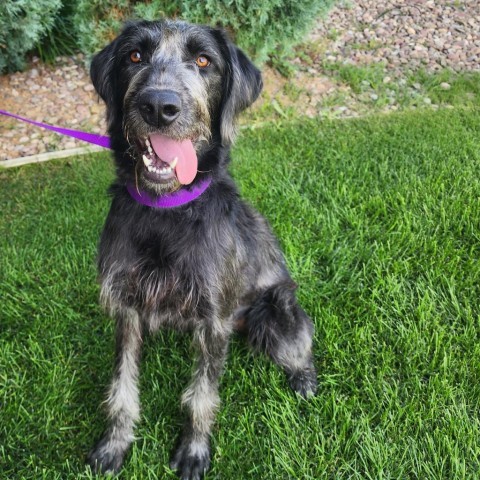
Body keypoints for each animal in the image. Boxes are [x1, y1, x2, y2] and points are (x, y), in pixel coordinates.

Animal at [87, 18, 318, 480]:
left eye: (203, 60)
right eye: (134, 56)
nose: (159, 106)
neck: (167, 212)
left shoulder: (213, 320)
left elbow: (201, 396)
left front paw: (193, 451)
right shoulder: (127, 308)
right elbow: (122, 386)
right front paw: (115, 444)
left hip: (274, 309)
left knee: (302, 344)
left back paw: (304, 379)